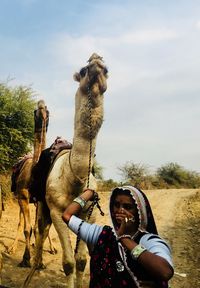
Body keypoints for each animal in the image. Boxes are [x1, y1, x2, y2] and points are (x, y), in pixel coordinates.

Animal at [6, 100, 55, 266]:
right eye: (34, 111)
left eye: (48, 110)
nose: (41, 106)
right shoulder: (22, 196)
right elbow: (27, 228)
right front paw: (26, 259)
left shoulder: (41, 200)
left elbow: (40, 229)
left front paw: (40, 261)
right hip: (20, 198)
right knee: (21, 223)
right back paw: (12, 248)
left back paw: (51, 248)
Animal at [22, 53, 108, 288]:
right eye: (84, 69)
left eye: (106, 70)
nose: (96, 61)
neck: (75, 178)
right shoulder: (57, 212)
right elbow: (68, 262)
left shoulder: (90, 215)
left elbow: (81, 261)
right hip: (42, 204)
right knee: (41, 229)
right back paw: (33, 267)